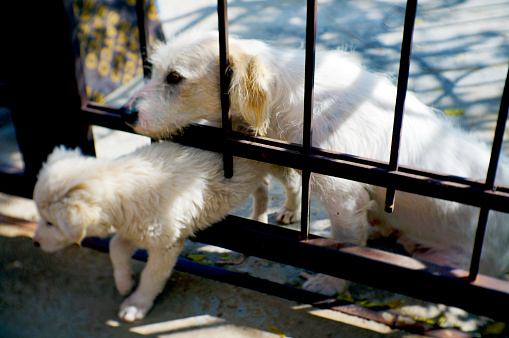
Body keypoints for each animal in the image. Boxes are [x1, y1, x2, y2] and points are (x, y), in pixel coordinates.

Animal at [31, 143, 270, 322]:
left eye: (51, 223)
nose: (35, 243)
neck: (124, 194)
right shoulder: (136, 229)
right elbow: (115, 248)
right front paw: (124, 282)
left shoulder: (165, 244)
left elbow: (151, 275)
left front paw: (136, 305)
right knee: (262, 186)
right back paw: (261, 216)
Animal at [125, 31, 508, 296]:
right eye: (154, 71)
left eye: (175, 77)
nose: (125, 113)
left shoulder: (343, 196)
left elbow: (345, 244)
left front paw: (328, 283)